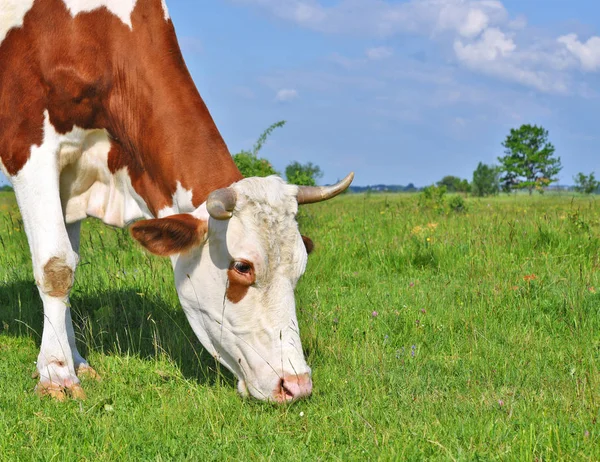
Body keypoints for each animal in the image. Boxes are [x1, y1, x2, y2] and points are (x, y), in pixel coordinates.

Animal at [0, 0, 354, 402]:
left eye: (300, 268)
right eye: (243, 266)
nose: (296, 385)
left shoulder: (74, 176)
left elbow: (70, 259)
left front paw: (76, 360)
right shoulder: (29, 149)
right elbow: (56, 265)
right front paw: (57, 372)